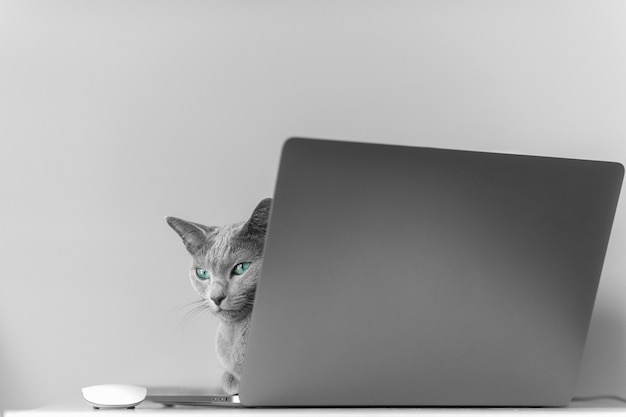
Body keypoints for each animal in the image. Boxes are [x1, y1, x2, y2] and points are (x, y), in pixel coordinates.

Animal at [166, 197, 270, 394]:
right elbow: (226, 376)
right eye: (202, 273)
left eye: (241, 267)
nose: (216, 297)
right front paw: (232, 381)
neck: (235, 332)